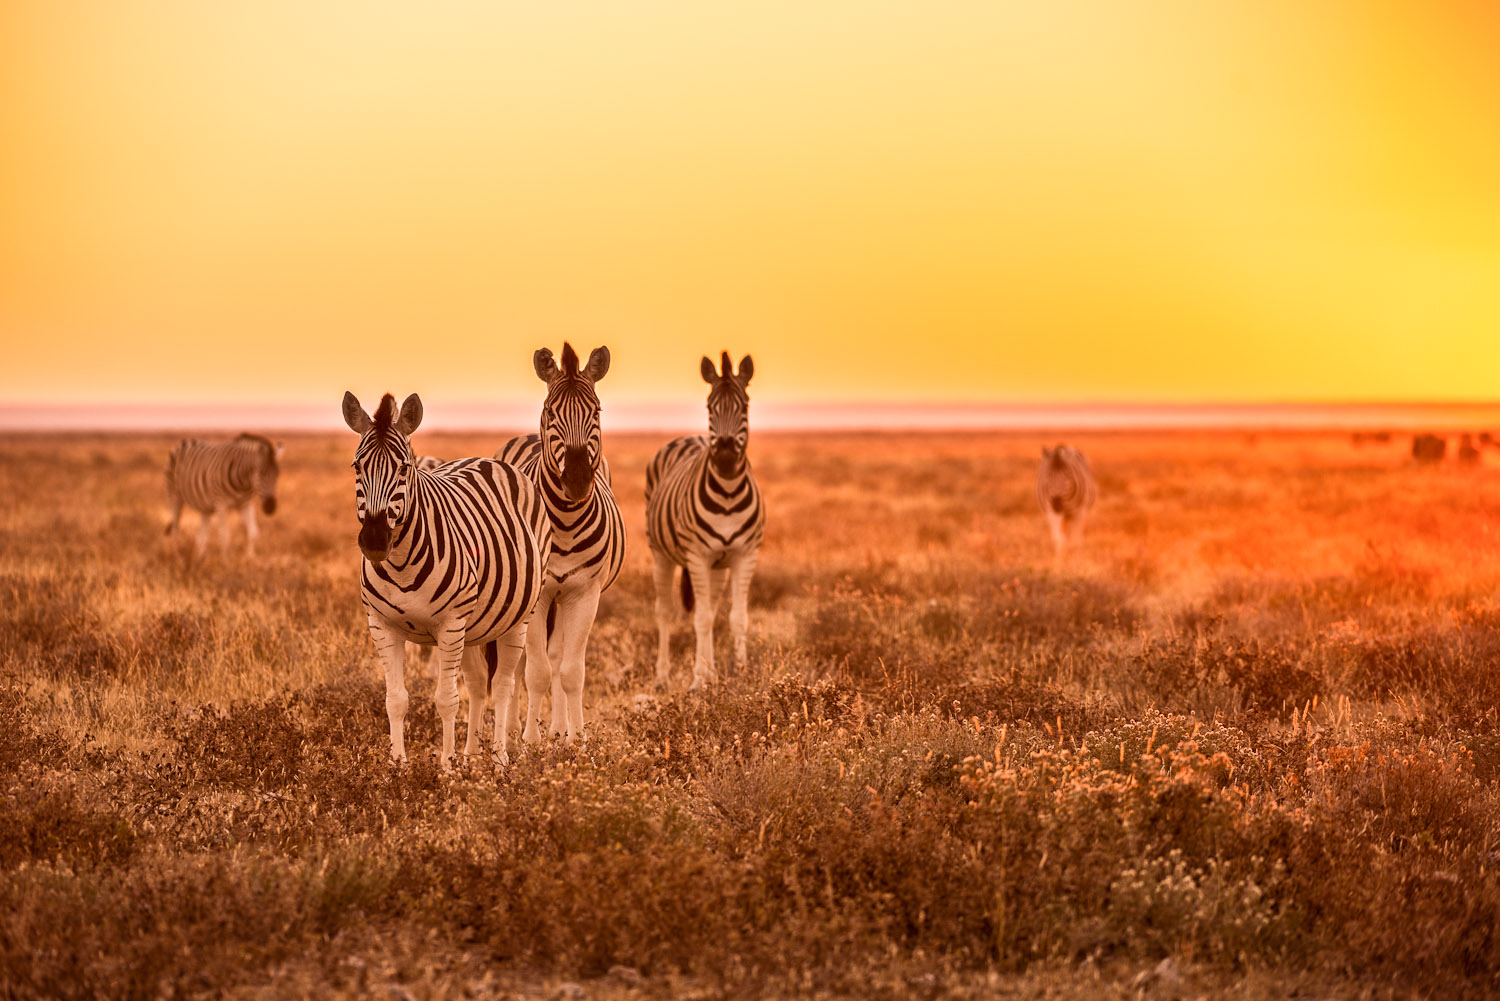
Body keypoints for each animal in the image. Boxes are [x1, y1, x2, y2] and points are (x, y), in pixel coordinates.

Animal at [342, 390, 552, 768]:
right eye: (357, 467)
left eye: (404, 467)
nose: (375, 541)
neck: (401, 564)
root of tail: (488, 460)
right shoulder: (381, 625)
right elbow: (395, 699)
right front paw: (398, 767)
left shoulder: (450, 624)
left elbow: (446, 699)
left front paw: (446, 768)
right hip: (473, 627)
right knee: (479, 680)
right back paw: (472, 756)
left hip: (517, 618)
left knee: (502, 685)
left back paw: (499, 759)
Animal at [495, 342, 624, 744]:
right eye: (551, 412)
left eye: (596, 411)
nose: (579, 480)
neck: (565, 523)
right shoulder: (538, 596)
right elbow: (534, 671)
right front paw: (529, 742)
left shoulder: (584, 593)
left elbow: (570, 671)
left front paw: (575, 739)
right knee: (522, 662)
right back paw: (514, 729)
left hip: (564, 597)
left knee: (557, 657)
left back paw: (556, 728)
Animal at [642, 351, 762, 690]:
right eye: (710, 407)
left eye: (745, 406)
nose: (724, 459)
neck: (728, 494)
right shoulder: (697, 555)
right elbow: (702, 618)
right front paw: (698, 679)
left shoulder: (745, 554)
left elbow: (737, 617)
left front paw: (741, 672)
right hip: (660, 553)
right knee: (665, 612)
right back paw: (663, 677)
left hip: (718, 566)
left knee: (712, 606)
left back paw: (711, 671)